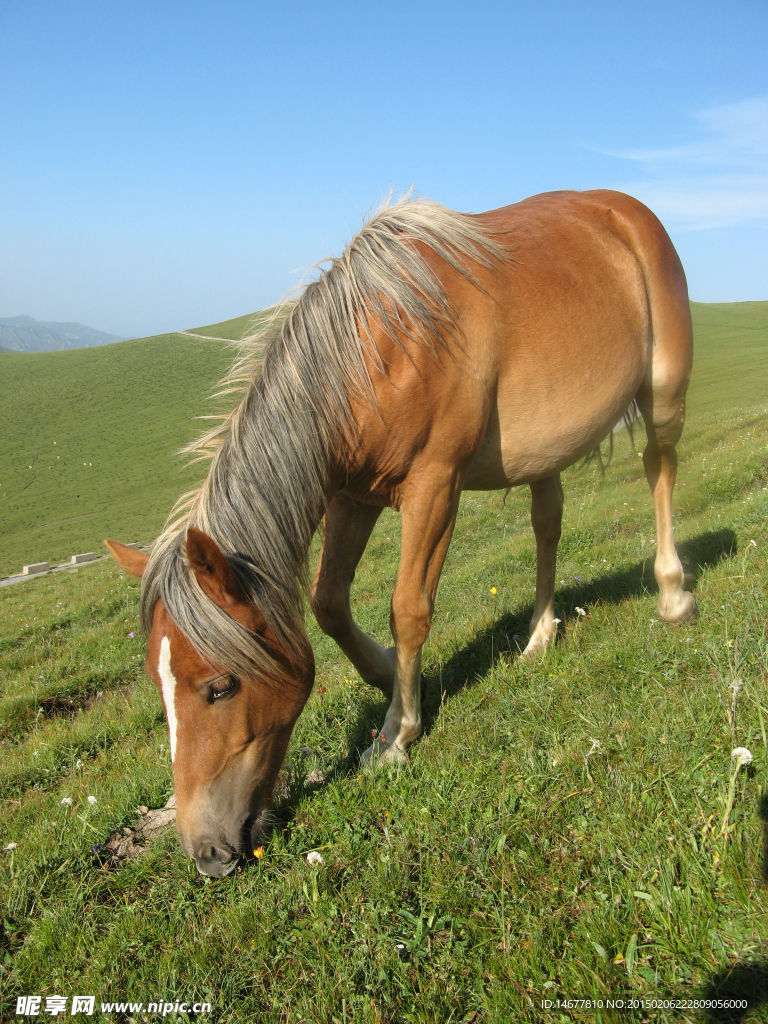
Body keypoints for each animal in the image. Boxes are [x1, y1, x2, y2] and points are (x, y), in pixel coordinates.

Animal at [107, 190, 696, 872]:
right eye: (160, 688)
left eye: (220, 686)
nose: (206, 853)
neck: (374, 354)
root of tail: (627, 211)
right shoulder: (349, 495)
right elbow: (328, 602)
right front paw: (390, 676)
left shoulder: (434, 488)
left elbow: (409, 609)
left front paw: (396, 732)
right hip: (543, 451)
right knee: (548, 525)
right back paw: (539, 636)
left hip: (662, 393)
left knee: (660, 470)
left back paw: (672, 593)